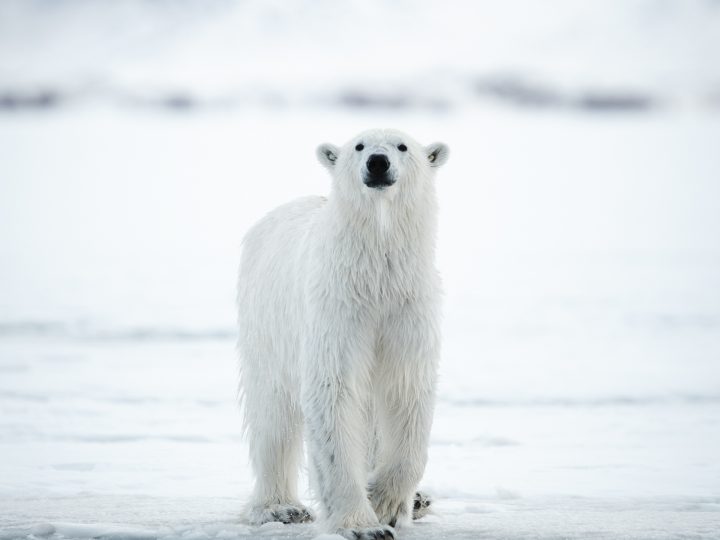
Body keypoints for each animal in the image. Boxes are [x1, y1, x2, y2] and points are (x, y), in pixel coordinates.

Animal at [236, 129, 450, 536]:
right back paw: (279, 507)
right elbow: (333, 391)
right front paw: (364, 524)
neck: (375, 274)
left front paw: (385, 502)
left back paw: (419, 500)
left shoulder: (407, 307)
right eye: (359, 146)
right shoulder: (337, 308)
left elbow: (405, 389)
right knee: (273, 413)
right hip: (267, 323)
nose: (378, 162)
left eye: (402, 146)